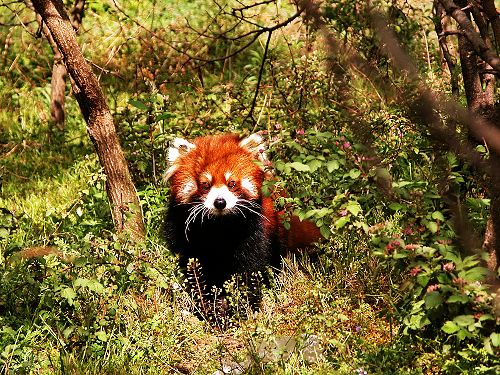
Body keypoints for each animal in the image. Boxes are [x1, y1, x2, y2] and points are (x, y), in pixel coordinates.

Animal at [164, 134, 320, 290]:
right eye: (205, 185)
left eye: (231, 183)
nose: (220, 202)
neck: (218, 227)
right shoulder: (183, 230)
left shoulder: (256, 229)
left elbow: (251, 264)